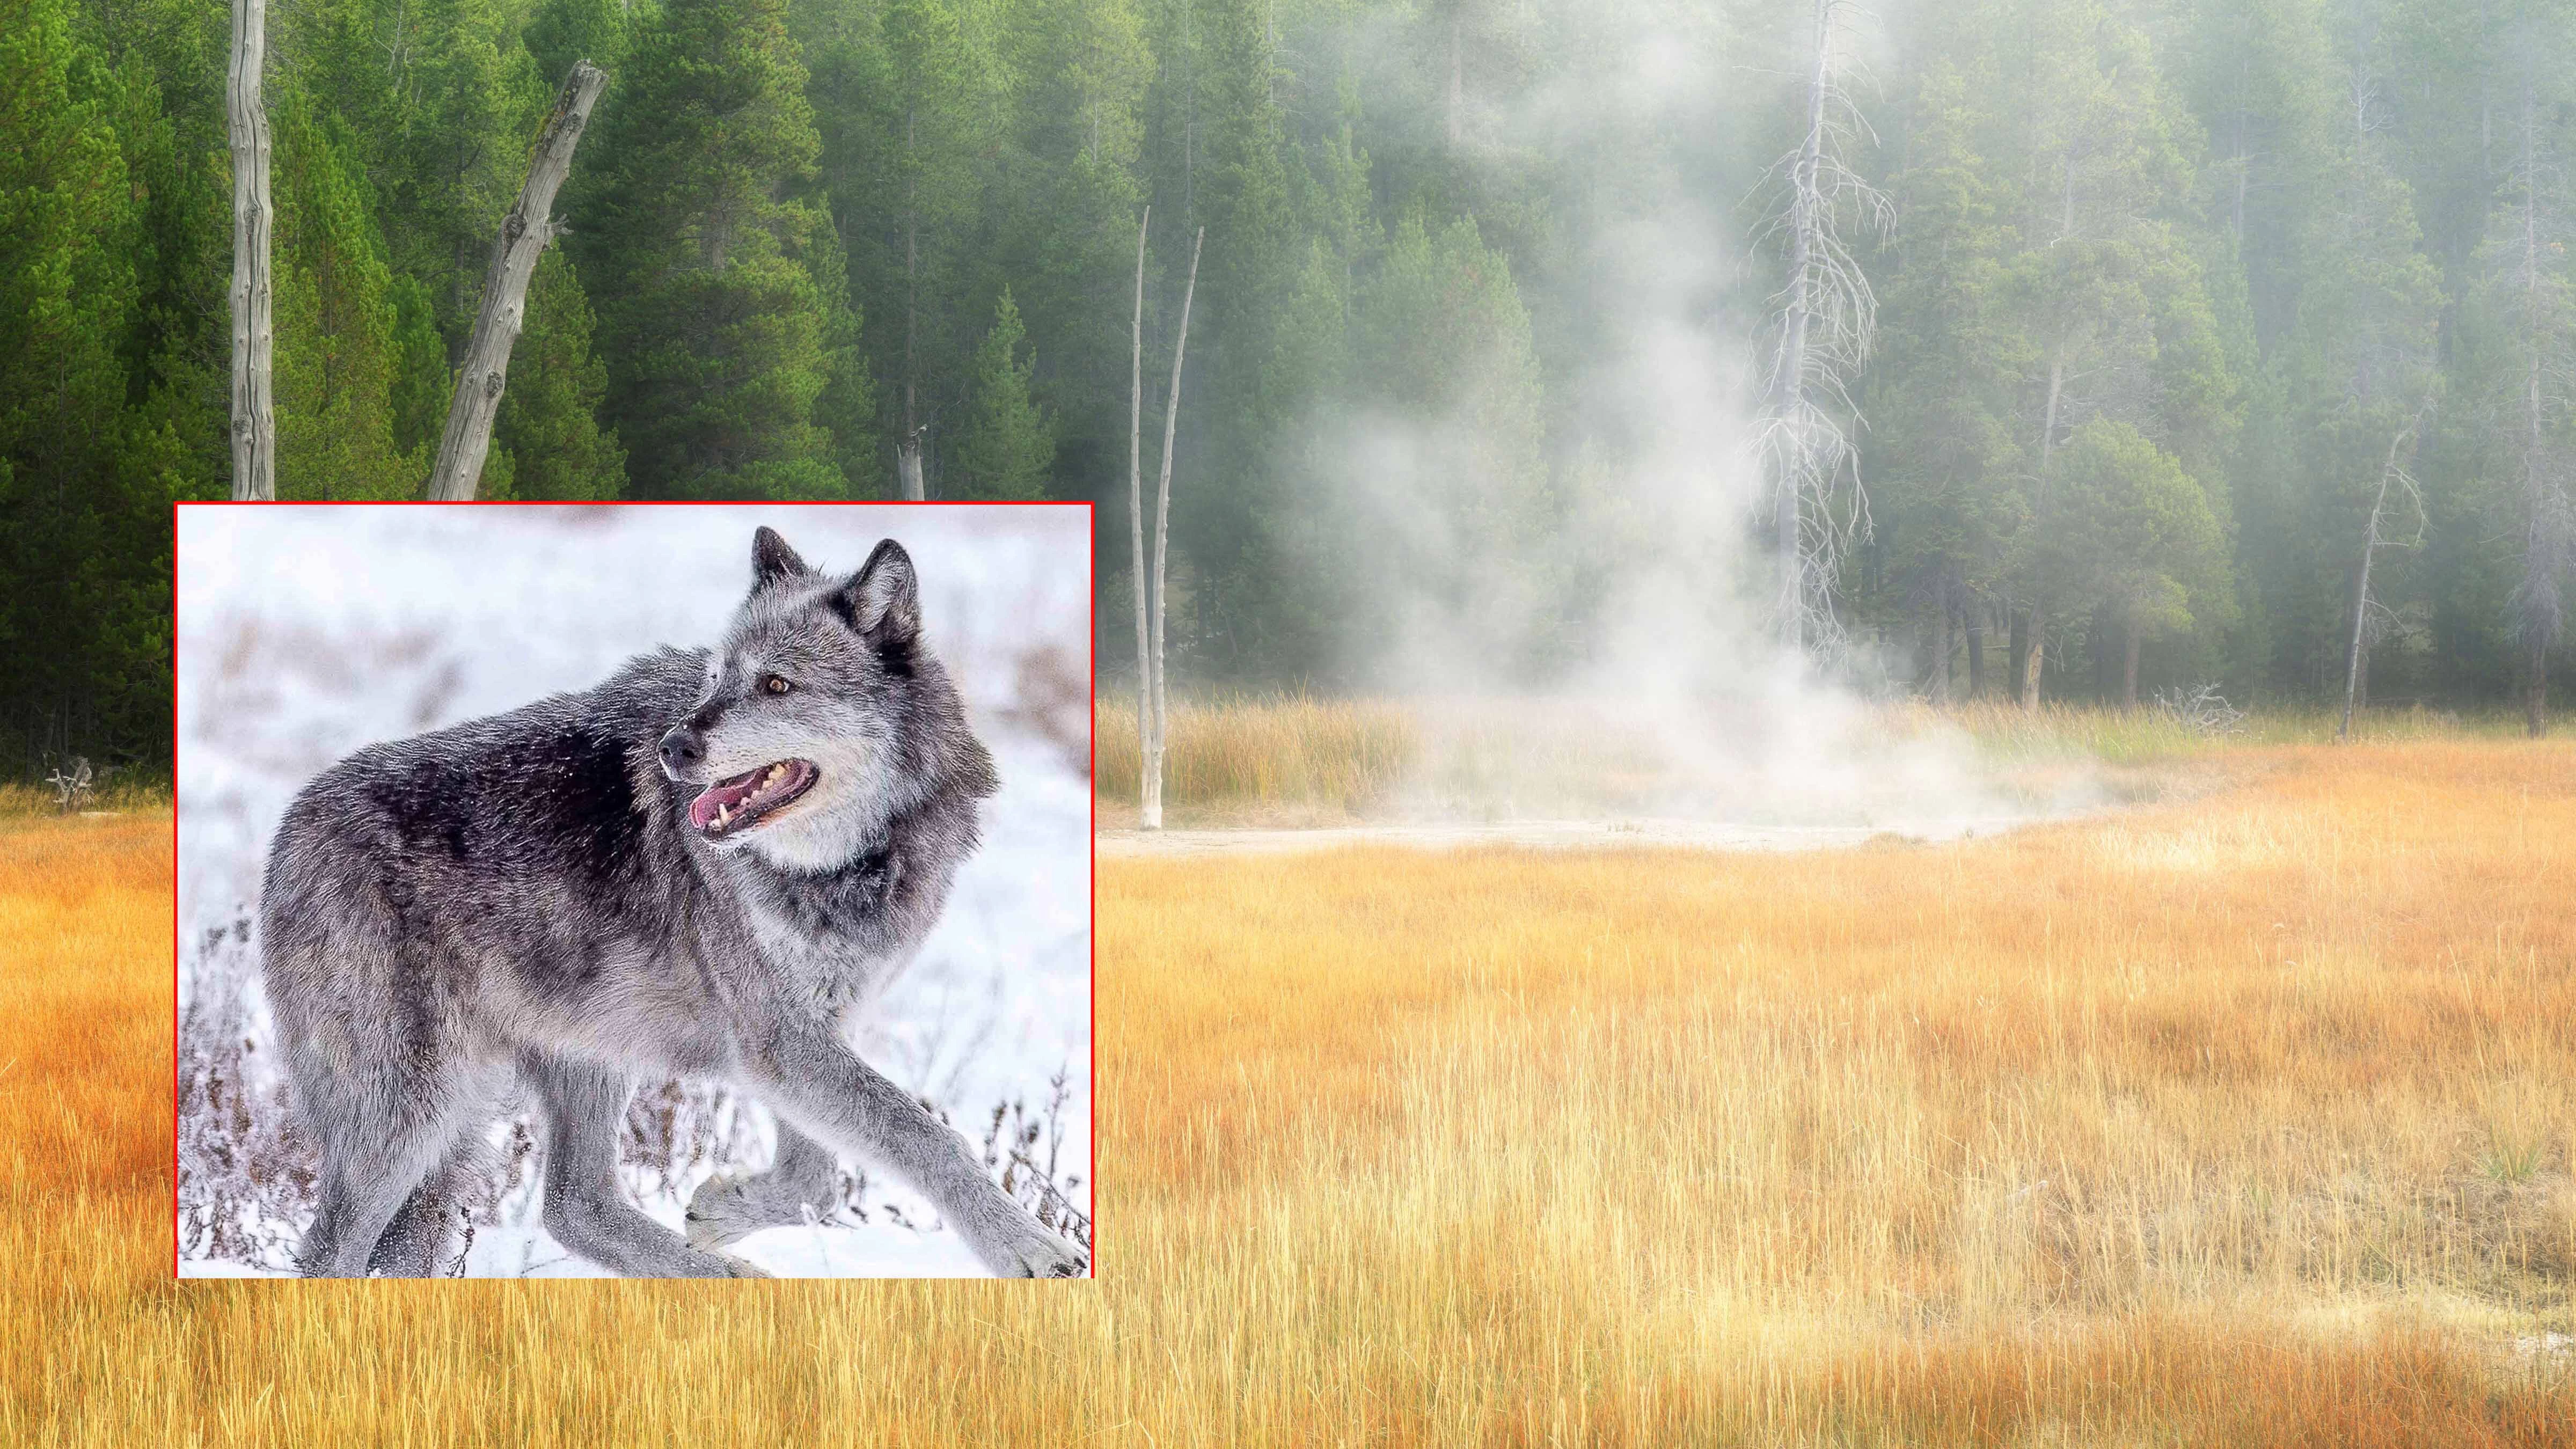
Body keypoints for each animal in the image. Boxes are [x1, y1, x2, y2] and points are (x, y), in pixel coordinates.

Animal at [258, 527, 1086, 1278]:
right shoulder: (780, 1042)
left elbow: (816, 1180)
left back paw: (734, 1281)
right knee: (332, 1251)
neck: (842, 868)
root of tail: (287, 830)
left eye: (777, 685)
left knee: (575, 1207)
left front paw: (719, 1209)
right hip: (412, 1122)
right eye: (716, 678)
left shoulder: (805, 1036)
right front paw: (1032, 1248)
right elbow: (925, 1137)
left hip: (577, 1064)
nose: (673, 748)